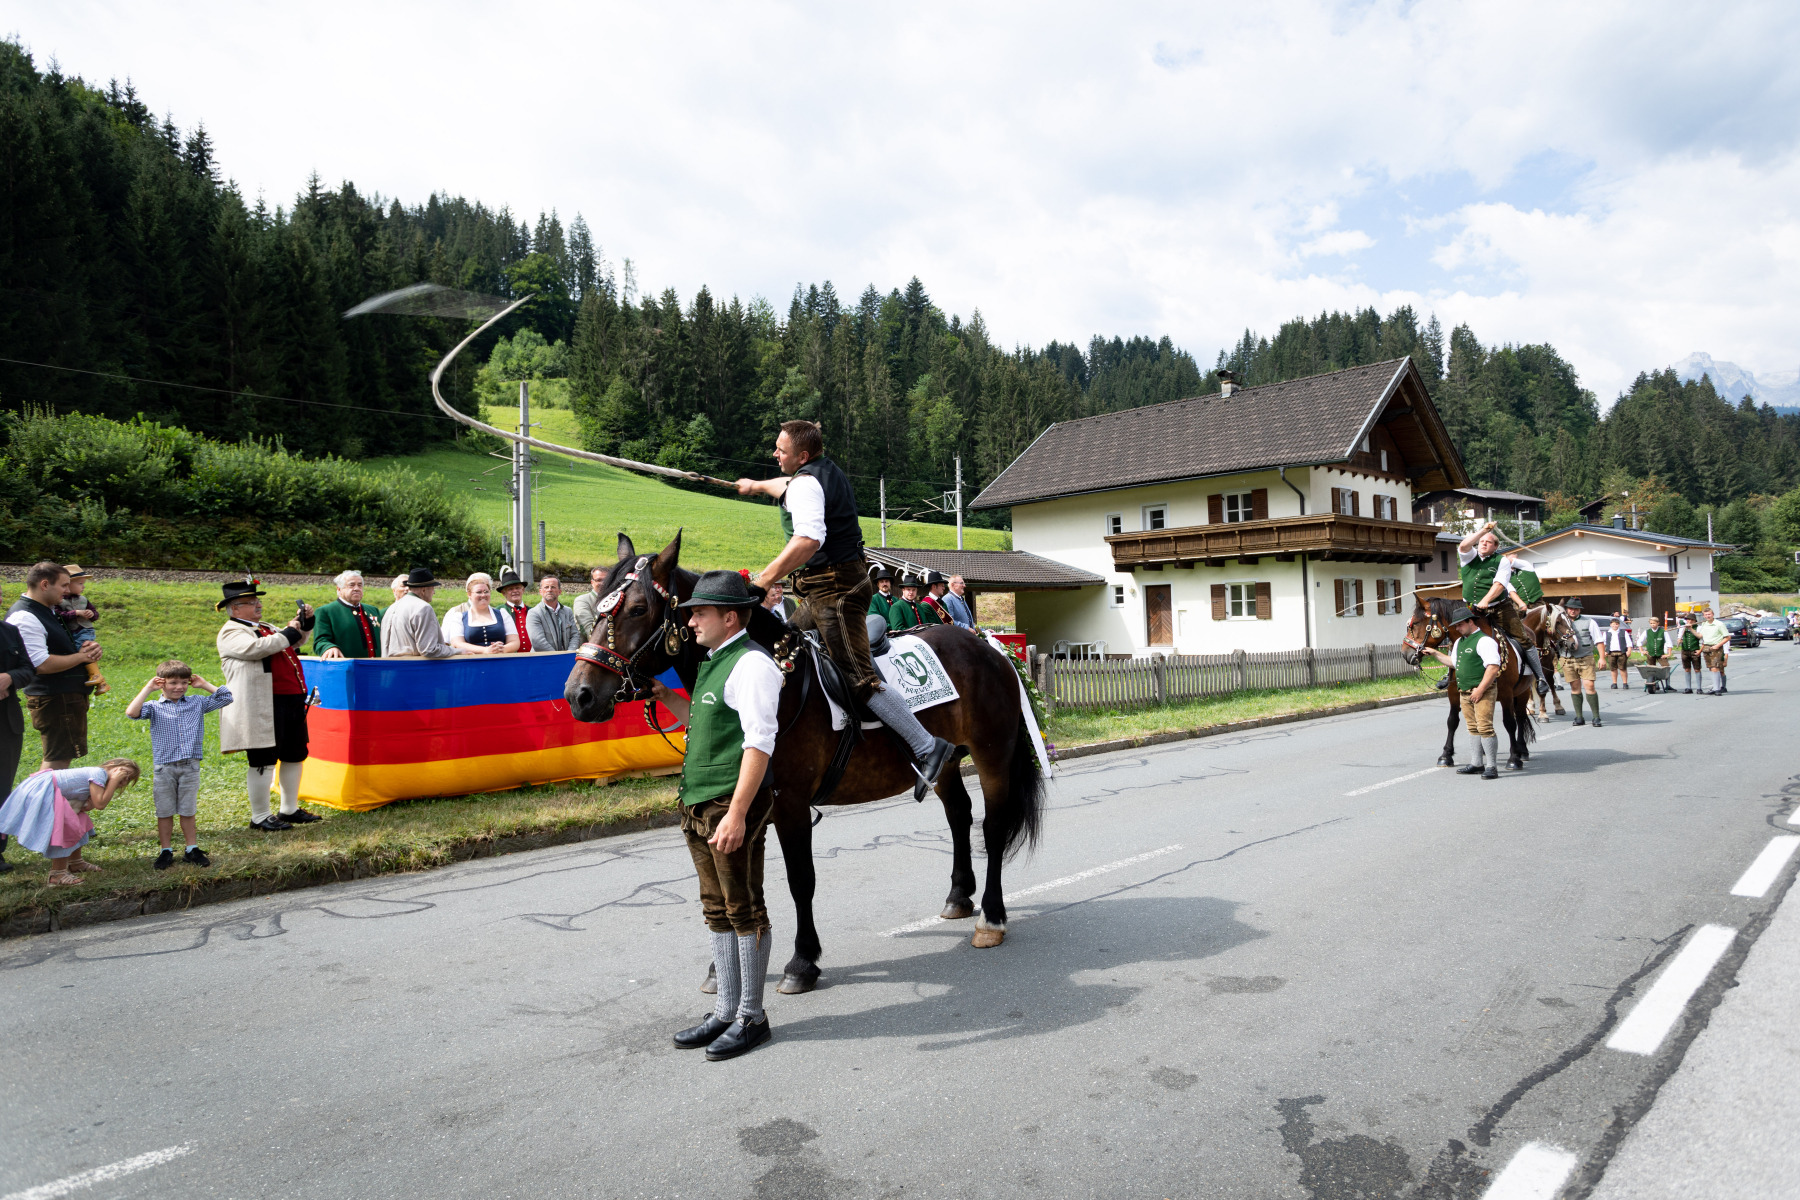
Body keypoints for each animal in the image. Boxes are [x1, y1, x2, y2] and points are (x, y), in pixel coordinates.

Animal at [563, 532, 1047, 993]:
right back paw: (959, 896)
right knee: (959, 815)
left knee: (993, 827)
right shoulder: (747, 806)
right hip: (947, 765)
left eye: (638, 608)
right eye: (597, 600)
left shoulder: (789, 804)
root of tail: (988, 645)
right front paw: (725, 969)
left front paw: (801, 961)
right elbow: (742, 884)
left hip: (992, 755)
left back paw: (991, 918)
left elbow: (799, 880)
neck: (771, 677)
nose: (578, 695)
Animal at [1402, 596, 1538, 770]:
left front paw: (1514, 758)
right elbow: (1452, 721)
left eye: (1416, 623)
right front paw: (1446, 755)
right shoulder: (1454, 693)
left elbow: (1509, 722)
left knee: (1520, 717)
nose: (1405, 653)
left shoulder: (1506, 694)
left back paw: (1522, 750)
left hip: (1522, 692)